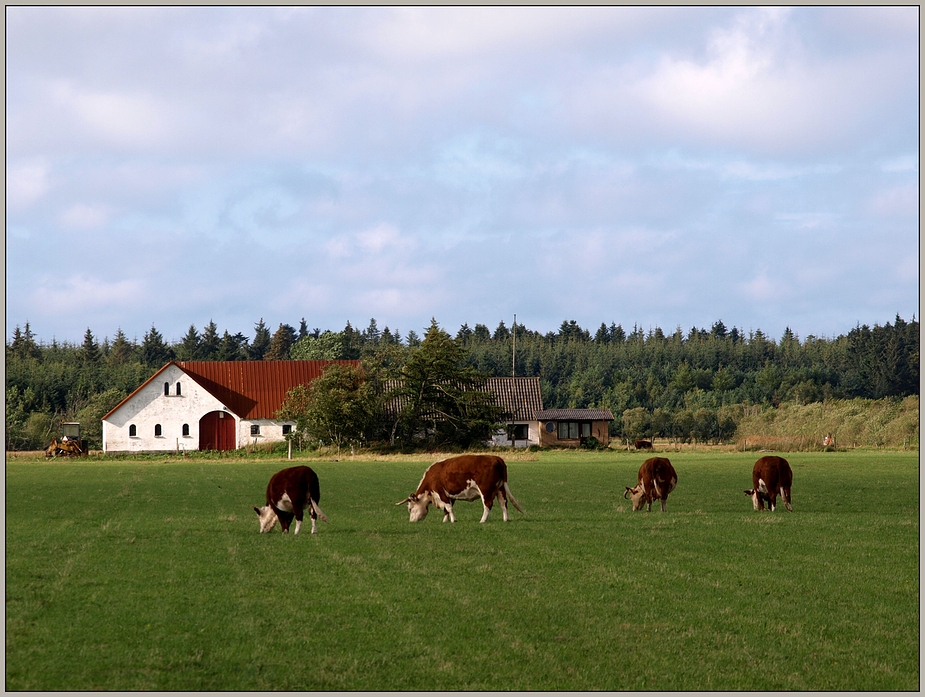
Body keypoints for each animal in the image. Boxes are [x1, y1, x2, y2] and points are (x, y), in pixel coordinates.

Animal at [394, 452, 524, 520]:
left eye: (410, 508)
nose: (411, 521)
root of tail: (497, 458)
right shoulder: (449, 495)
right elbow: (447, 509)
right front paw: (445, 521)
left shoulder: (440, 492)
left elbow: (448, 507)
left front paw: (453, 521)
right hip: (500, 489)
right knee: (503, 503)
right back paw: (505, 519)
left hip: (485, 490)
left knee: (488, 505)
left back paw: (482, 521)